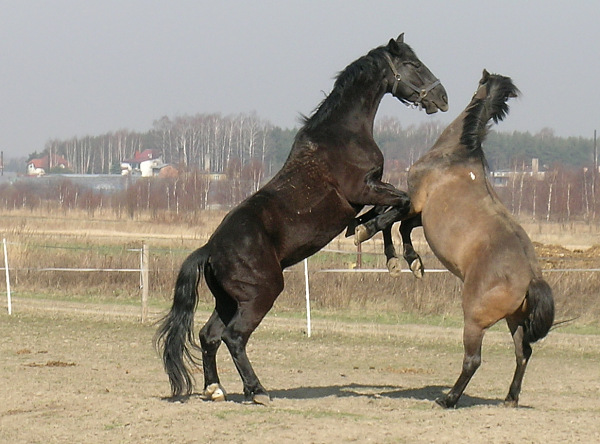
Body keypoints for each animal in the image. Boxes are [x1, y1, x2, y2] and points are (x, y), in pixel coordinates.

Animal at [155, 33, 446, 404]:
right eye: (412, 64)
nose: (442, 97)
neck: (342, 135)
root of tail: (209, 250)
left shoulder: (372, 193)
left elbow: (391, 211)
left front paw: (385, 250)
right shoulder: (365, 189)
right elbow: (399, 205)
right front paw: (387, 246)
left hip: (230, 300)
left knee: (209, 335)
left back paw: (215, 389)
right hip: (260, 294)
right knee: (234, 337)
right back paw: (257, 390)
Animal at [354, 70, 556, 410]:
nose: (440, 100)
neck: (456, 156)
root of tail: (531, 278)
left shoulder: (415, 200)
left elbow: (387, 219)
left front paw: (366, 233)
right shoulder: (420, 212)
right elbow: (400, 226)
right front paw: (411, 262)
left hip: (474, 320)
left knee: (473, 360)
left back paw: (448, 398)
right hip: (514, 320)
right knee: (523, 353)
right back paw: (510, 398)